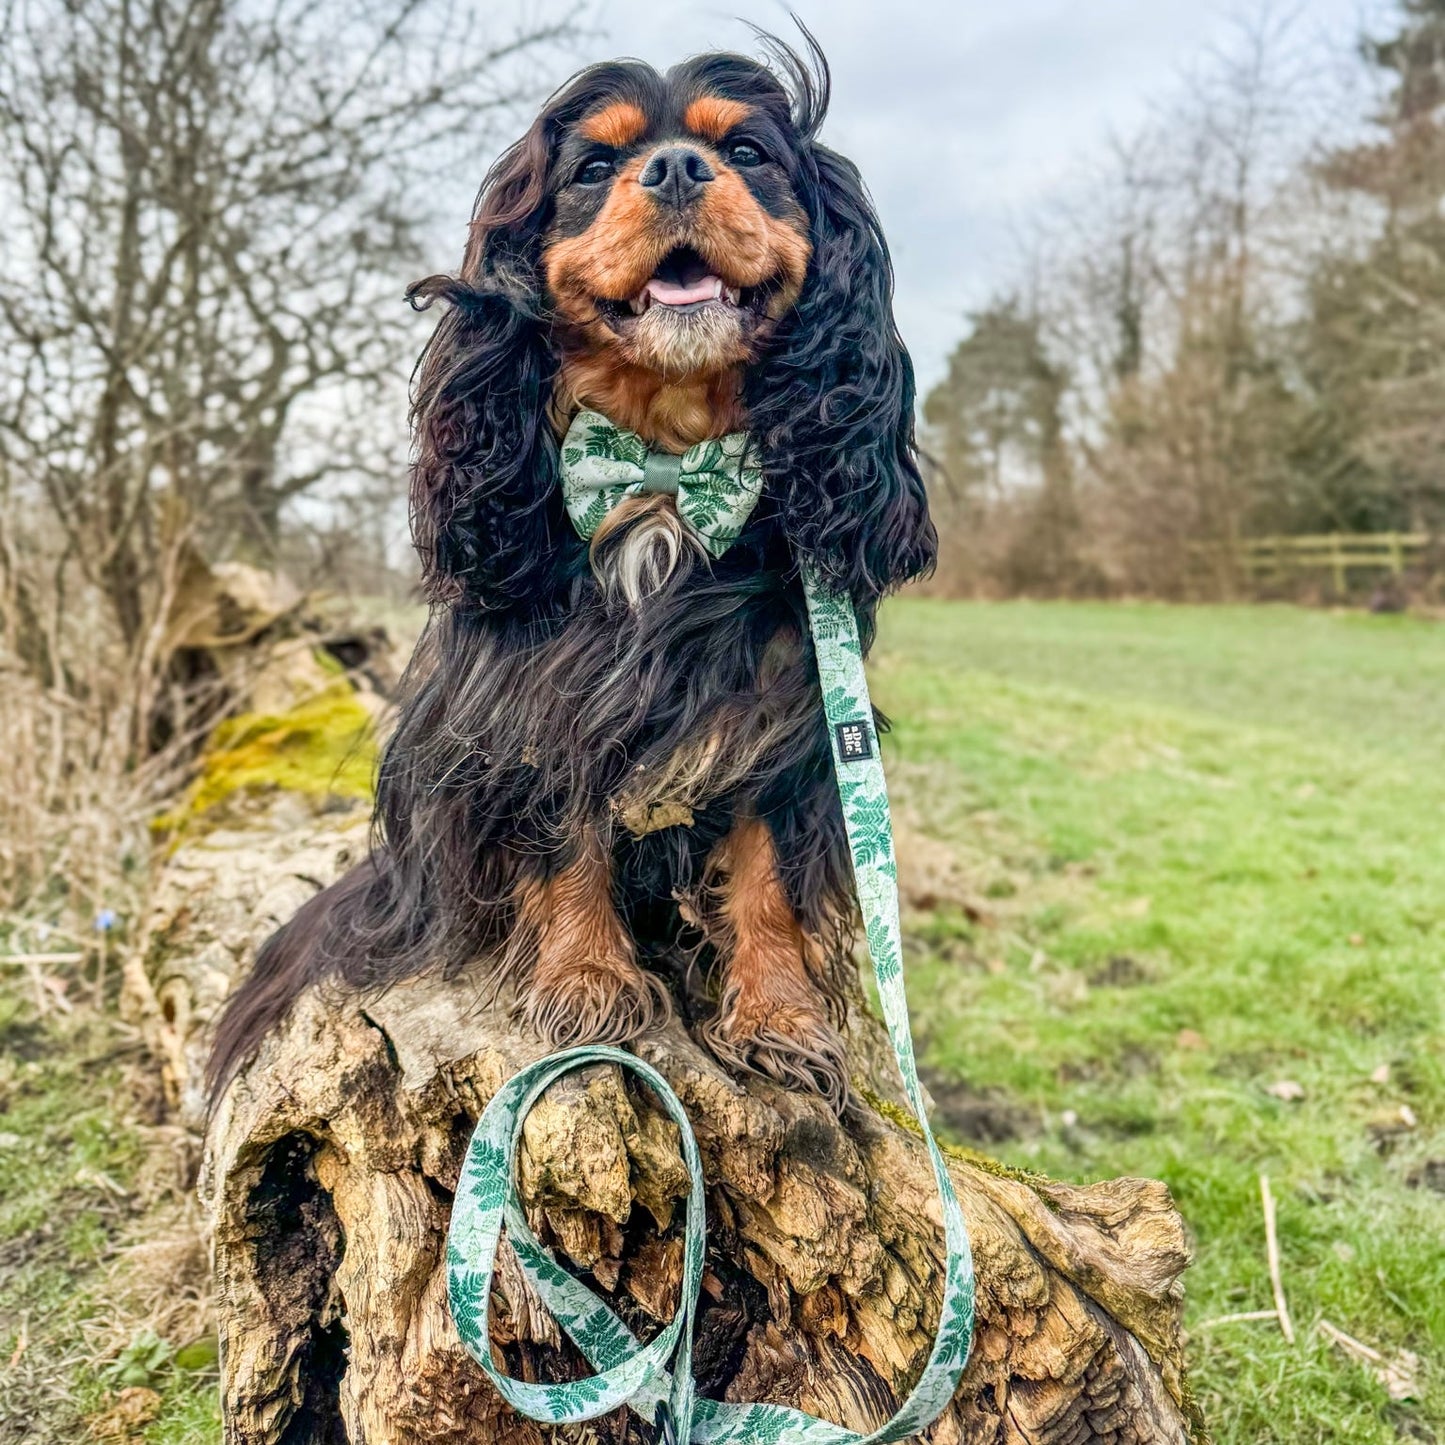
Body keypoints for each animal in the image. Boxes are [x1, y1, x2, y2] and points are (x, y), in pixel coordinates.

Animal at [210, 36, 936, 1115]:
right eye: (593, 167)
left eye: (748, 151)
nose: (675, 168)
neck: (663, 464)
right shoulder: (529, 704)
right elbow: (563, 829)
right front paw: (587, 978)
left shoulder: (782, 703)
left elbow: (764, 869)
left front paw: (780, 1016)